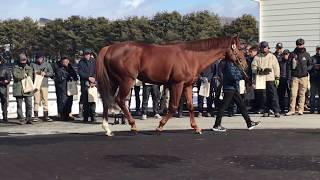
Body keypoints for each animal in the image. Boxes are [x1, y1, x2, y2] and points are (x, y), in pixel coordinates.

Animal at [96, 35, 246, 136]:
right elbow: (173, 106)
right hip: (127, 80)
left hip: (113, 81)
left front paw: (196, 127)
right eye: (240, 48)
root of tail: (109, 48)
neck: (191, 57)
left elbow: (190, 106)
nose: (244, 64)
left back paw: (107, 128)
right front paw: (160, 127)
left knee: (106, 100)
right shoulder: (177, 85)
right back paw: (133, 126)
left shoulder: (187, 86)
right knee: (120, 100)